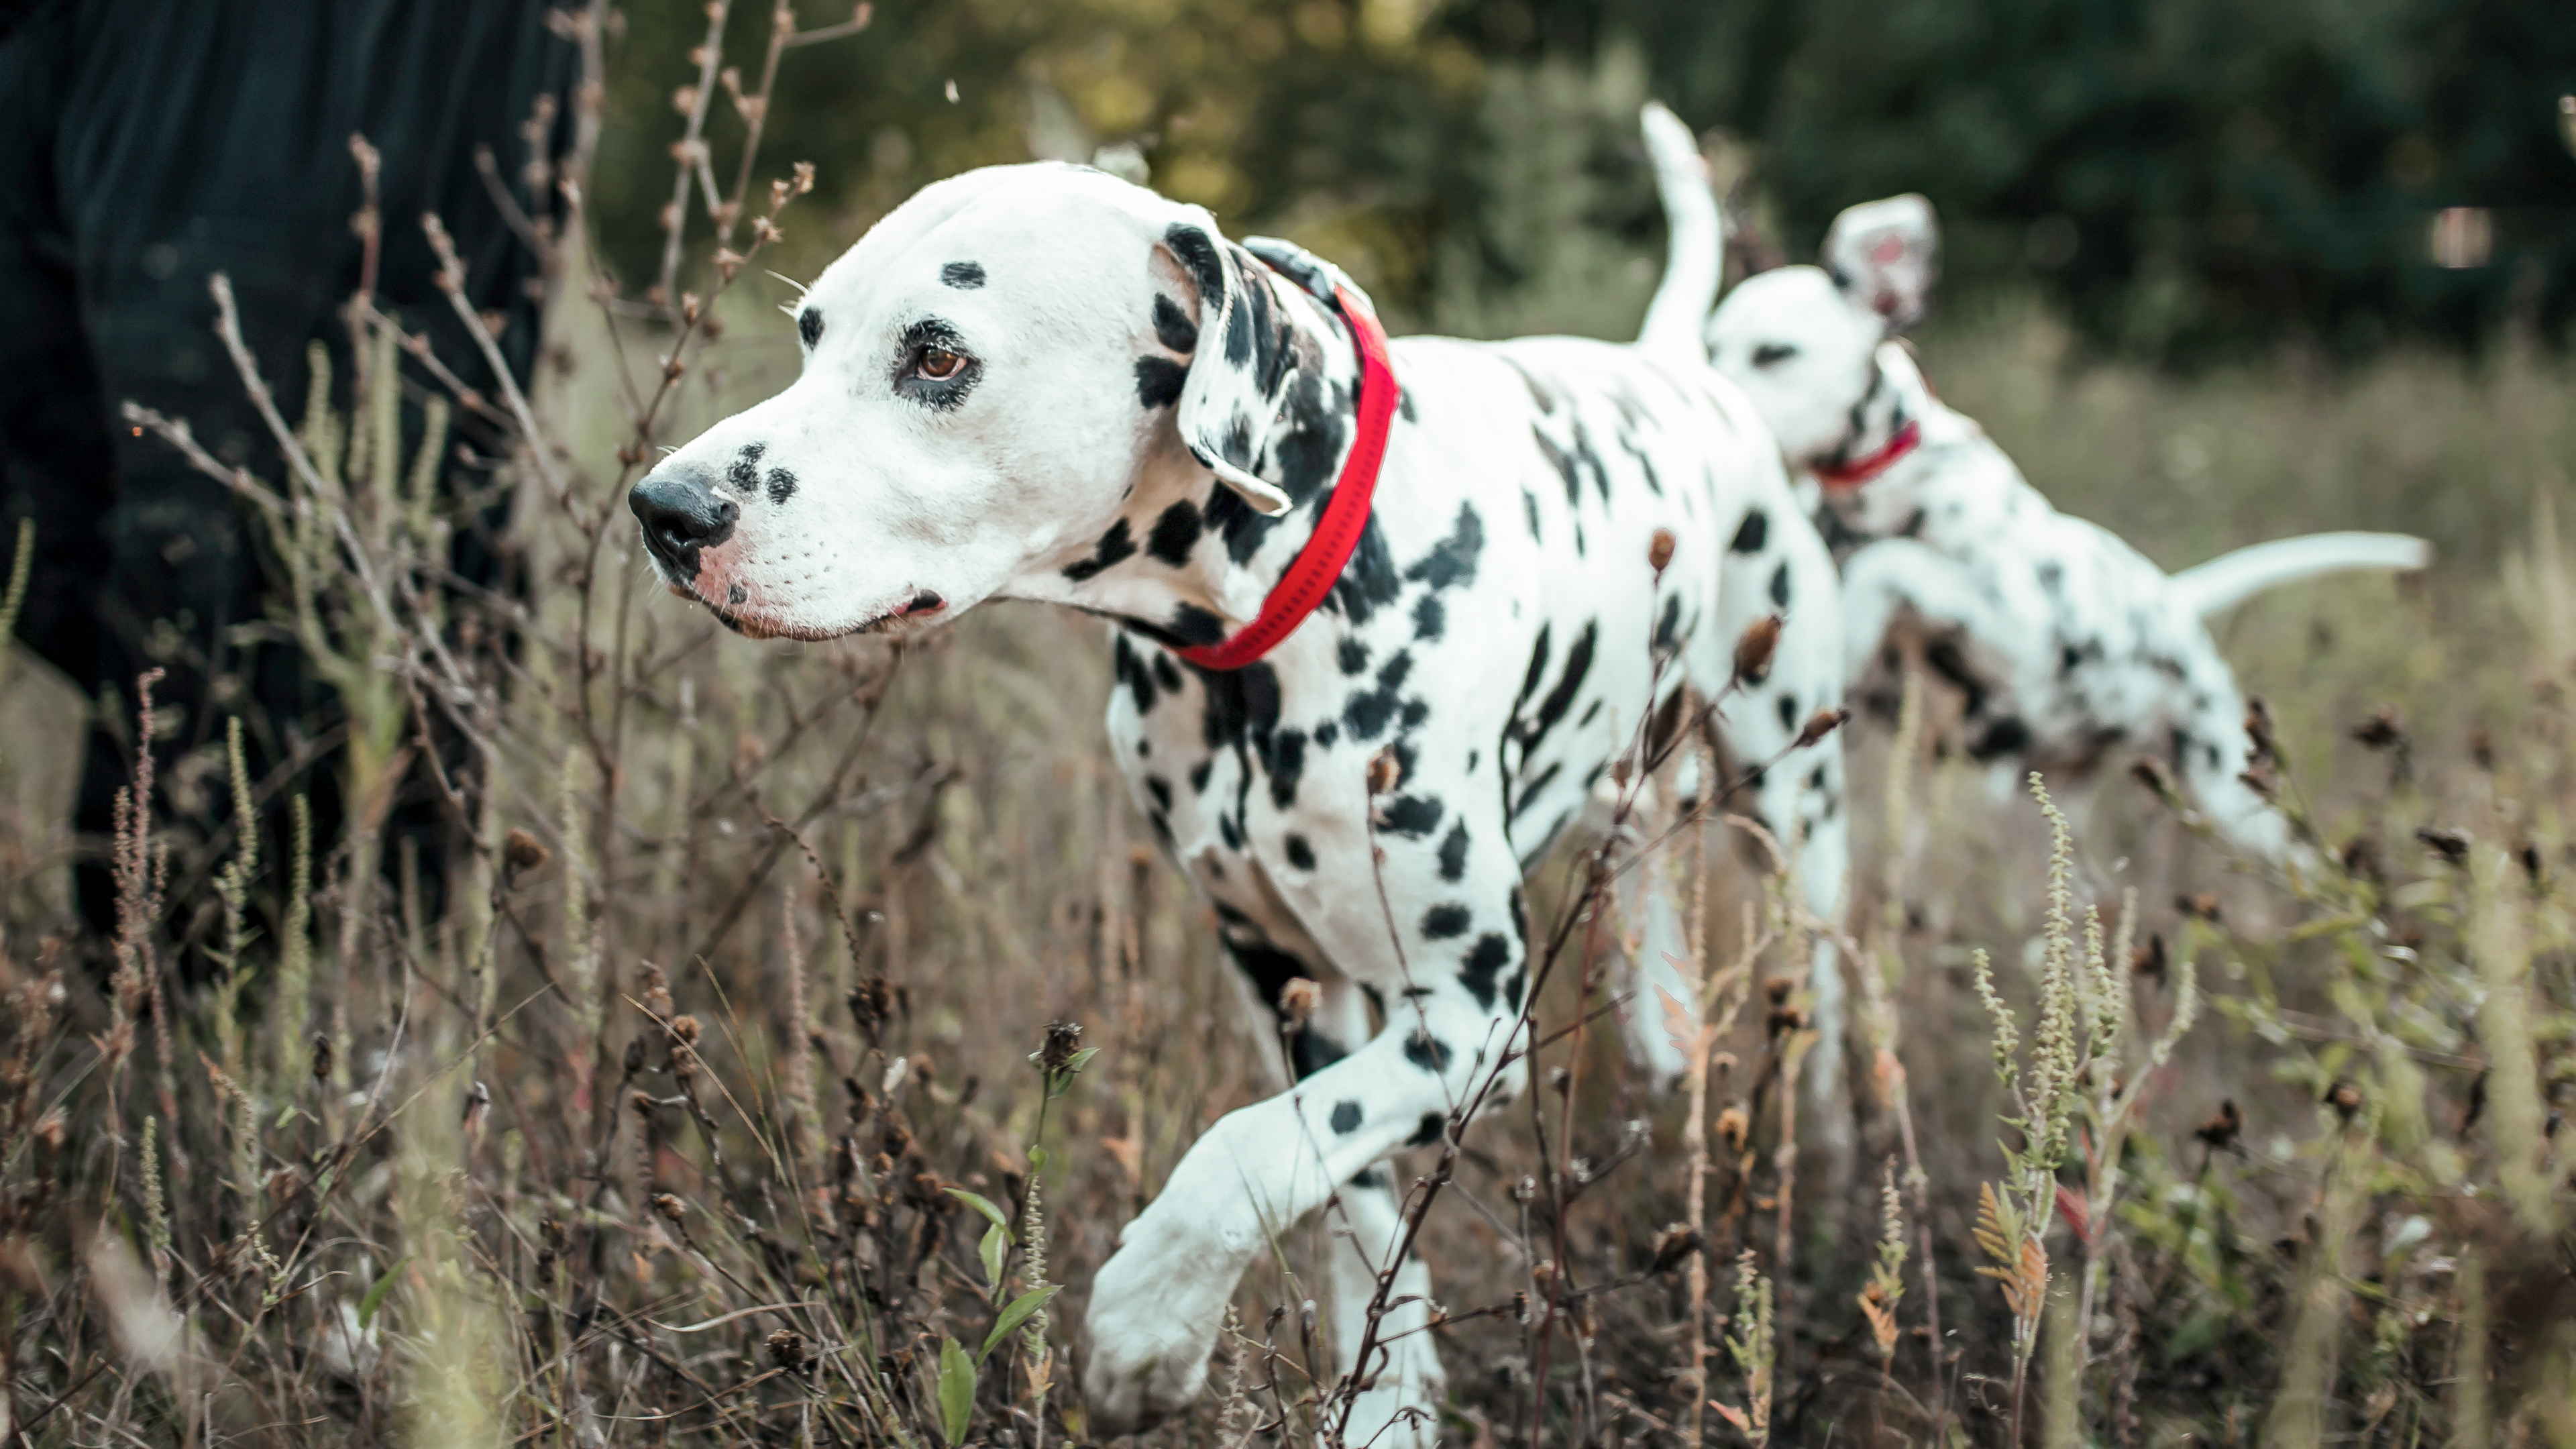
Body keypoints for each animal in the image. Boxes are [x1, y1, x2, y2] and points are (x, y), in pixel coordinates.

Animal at [623, 152, 1854, 1433]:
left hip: (1796, 805)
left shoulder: (1477, 1015)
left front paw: (1145, 1332)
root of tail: (1674, 363)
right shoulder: (1283, 979)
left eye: (938, 357)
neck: (1269, 619)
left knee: (1817, 992)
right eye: (811, 333)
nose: (664, 508)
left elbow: (1241, 1154)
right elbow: (1336, 1185)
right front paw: (1384, 1394)